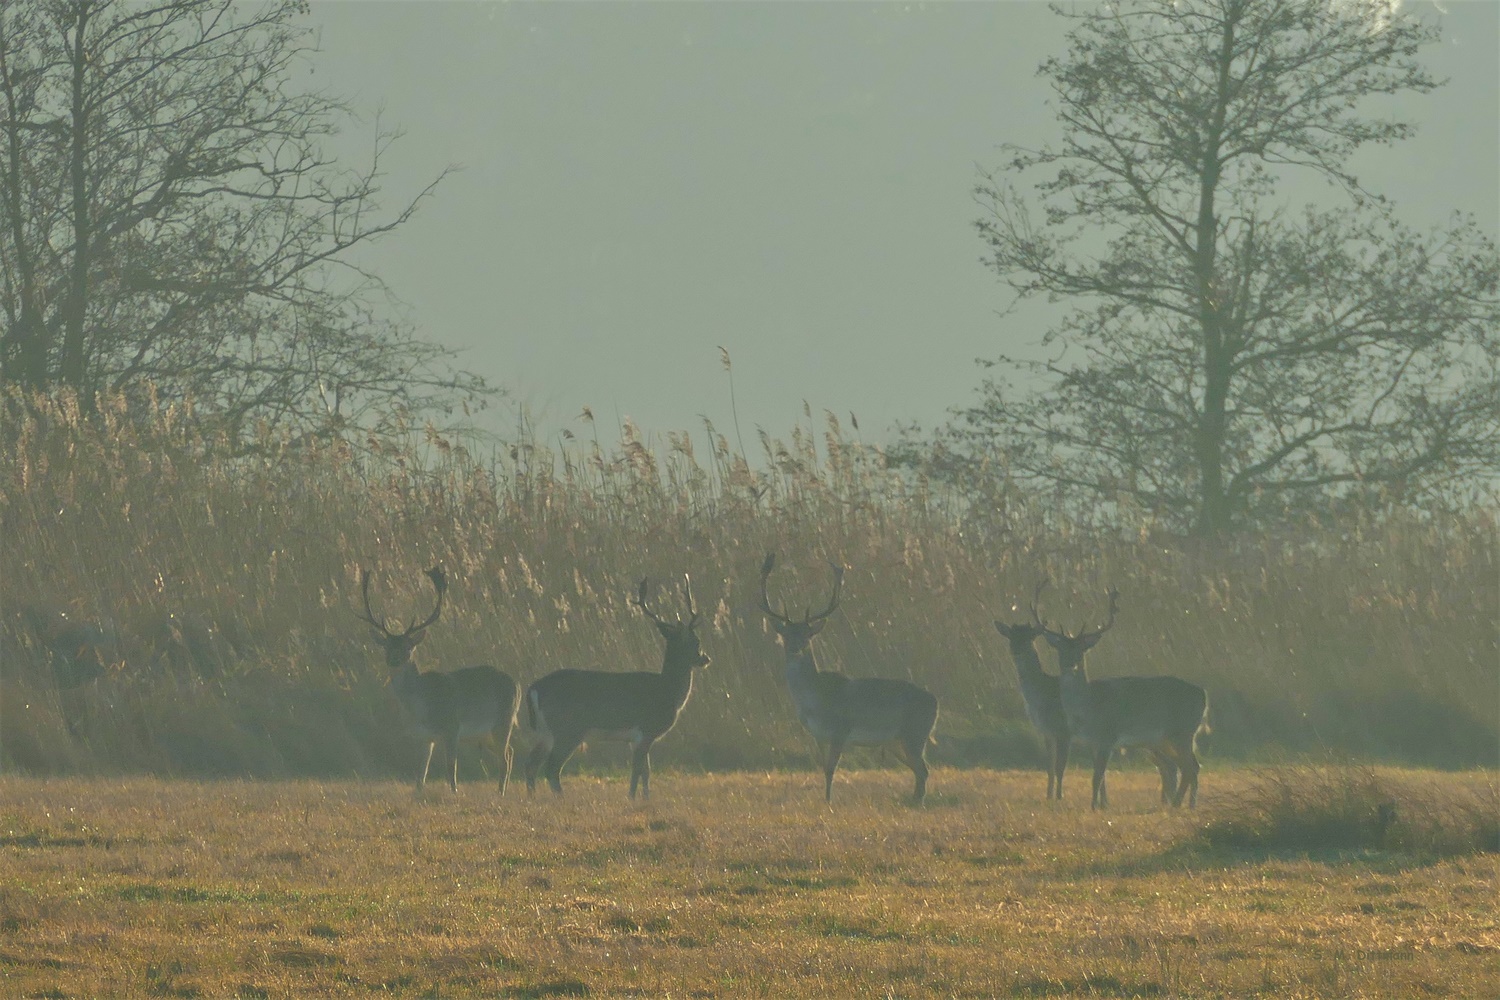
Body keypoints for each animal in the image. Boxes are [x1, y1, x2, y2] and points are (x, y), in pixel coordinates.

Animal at [355, 569, 522, 797]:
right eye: (387, 646)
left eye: (408, 647)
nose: (394, 659)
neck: (420, 707)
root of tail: (518, 685)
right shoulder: (423, 737)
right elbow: (421, 773)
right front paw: (418, 794)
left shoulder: (452, 727)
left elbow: (451, 767)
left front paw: (455, 793)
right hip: (485, 733)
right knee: (510, 752)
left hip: (503, 720)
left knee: (505, 757)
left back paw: (500, 792)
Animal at [525, 575, 711, 803]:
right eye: (696, 641)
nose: (705, 658)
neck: (668, 691)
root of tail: (534, 689)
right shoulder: (646, 731)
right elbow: (638, 769)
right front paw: (633, 798)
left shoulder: (636, 738)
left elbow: (645, 770)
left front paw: (643, 798)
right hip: (567, 728)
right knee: (551, 768)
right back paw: (562, 799)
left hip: (546, 732)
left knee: (531, 764)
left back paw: (532, 798)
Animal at [762, 554, 936, 803]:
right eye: (786, 634)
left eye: (807, 635)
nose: (796, 648)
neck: (813, 700)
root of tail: (935, 701)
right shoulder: (818, 735)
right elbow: (823, 767)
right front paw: (824, 799)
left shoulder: (840, 730)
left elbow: (831, 769)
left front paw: (828, 802)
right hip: (897, 740)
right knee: (920, 770)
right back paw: (913, 802)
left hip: (915, 733)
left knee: (923, 769)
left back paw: (917, 803)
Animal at [996, 587, 1182, 803]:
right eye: (1011, 636)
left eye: (1029, 638)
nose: (1016, 650)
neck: (1042, 696)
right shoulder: (1047, 732)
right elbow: (1049, 767)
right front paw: (1050, 797)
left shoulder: (1064, 730)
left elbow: (1061, 767)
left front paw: (1060, 798)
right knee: (1167, 766)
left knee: (1170, 765)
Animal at [1032, 581, 1206, 809]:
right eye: (1061, 649)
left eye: (1081, 649)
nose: (1071, 665)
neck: (1087, 707)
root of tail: (1203, 694)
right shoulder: (1092, 742)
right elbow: (1099, 777)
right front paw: (1098, 804)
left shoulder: (1108, 735)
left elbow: (1097, 776)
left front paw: (1094, 807)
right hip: (1166, 738)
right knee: (1187, 766)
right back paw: (1185, 804)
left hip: (1182, 731)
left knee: (1190, 766)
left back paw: (1181, 804)